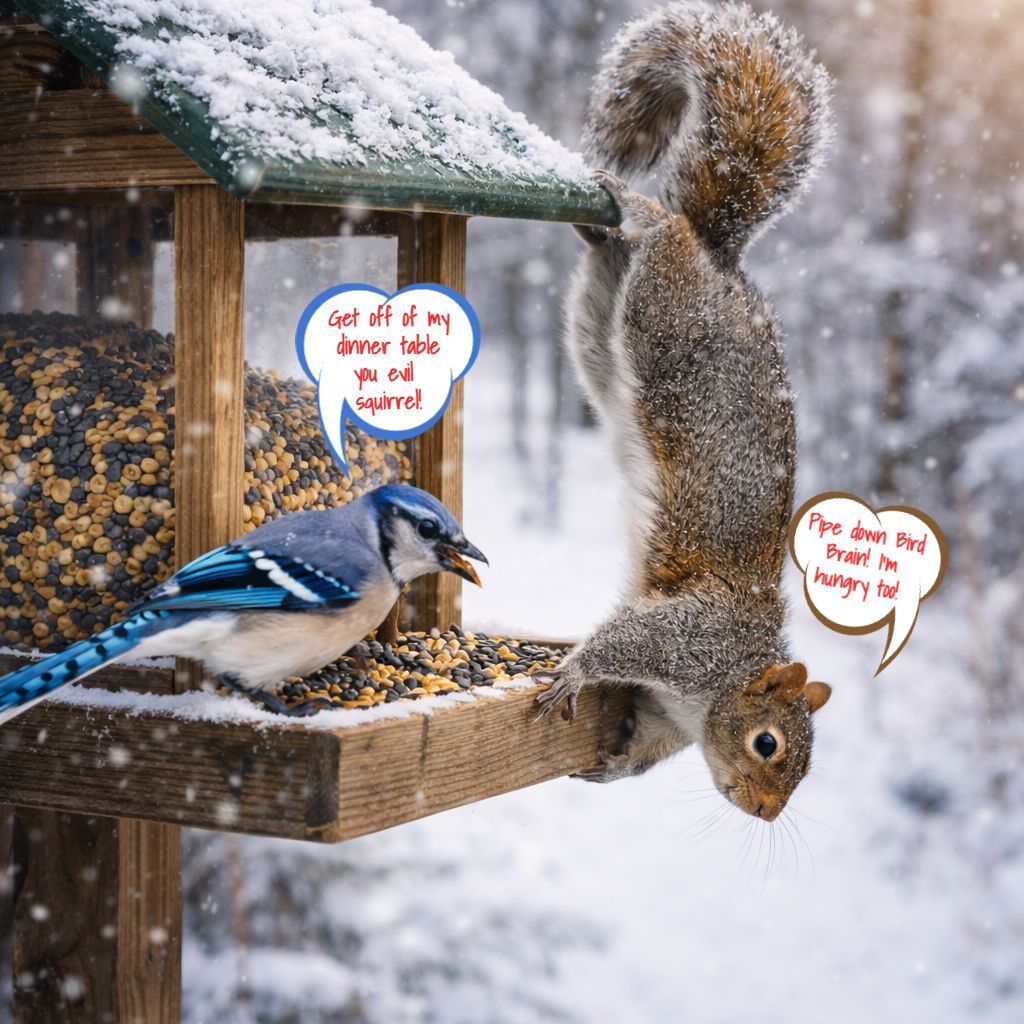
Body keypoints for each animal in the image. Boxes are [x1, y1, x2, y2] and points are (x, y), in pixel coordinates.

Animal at [536, 1, 835, 821]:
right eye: (768, 743)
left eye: (806, 770)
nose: (765, 813)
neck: (715, 694)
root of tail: (719, 259)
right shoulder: (685, 640)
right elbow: (620, 643)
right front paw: (573, 673)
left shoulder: (663, 715)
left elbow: (639, 749)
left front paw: (607, 769)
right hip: (664, 316)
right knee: (663, 232)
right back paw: (631, 207)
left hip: (604, 330)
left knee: (610, 267)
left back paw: (601, 224)